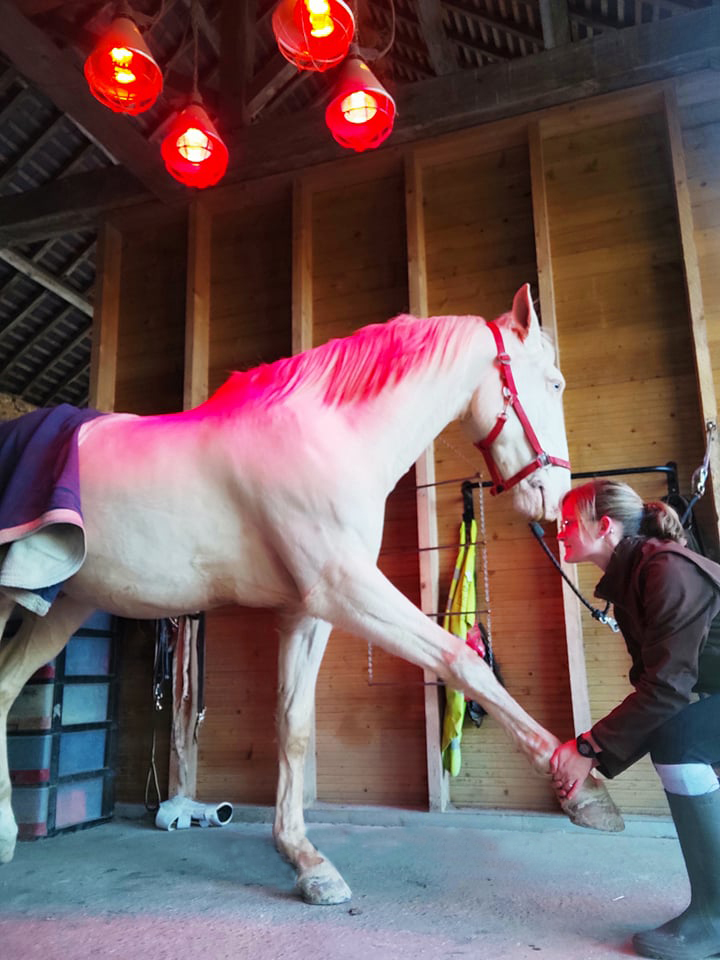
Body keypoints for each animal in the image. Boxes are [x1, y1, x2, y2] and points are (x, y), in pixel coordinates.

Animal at [0, 284, 620, 908]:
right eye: (555, 383)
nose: (554, 499)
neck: (332, 438)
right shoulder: (346, 588)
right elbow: (463, 661)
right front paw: (583, 790)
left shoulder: (309, 611)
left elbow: (293, 725)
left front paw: (306, 861)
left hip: (60, 604)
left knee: (6, 686)